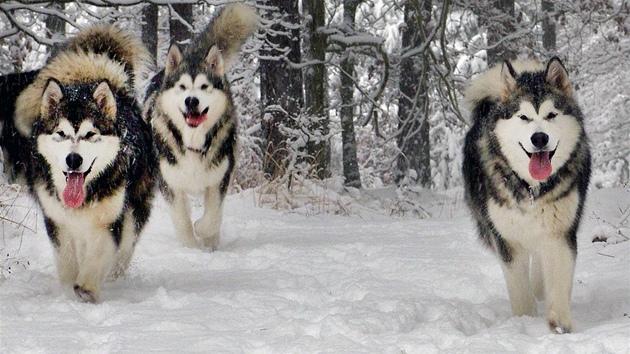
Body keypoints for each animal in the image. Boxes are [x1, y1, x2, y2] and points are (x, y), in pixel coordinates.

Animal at [11, 24, 156, 302]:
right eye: (61, 133)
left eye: (90, 134)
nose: (73, 159)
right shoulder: (57, 221)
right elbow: (67, 259)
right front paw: (69, 289)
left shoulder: (108, 221)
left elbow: (100, 255)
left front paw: (88, 288)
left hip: (135, 204)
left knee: (125, 245)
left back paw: (115, 275)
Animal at [144, 4, 258, 250]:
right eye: (182, 87)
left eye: (204, 87)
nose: (191, 101)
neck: (193, 141)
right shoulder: (171, 184)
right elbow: (182, 220)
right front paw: (191, 247)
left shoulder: (219, 179)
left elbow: (213, 217)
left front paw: (205, 234)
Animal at [464, 56, 592, 334]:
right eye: (523, 117)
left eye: (551, 115)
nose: (539, 137)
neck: (532, 187)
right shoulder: (507, 239)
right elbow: (519, 290)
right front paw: (524, 321)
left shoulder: (560, 232)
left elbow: (558, 278)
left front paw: (559, 324)